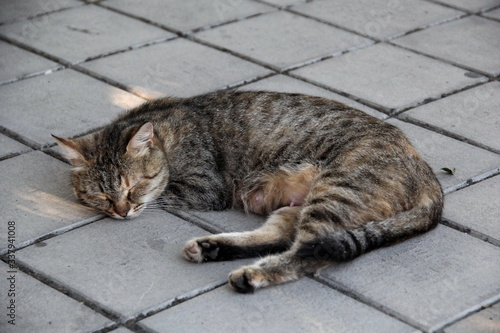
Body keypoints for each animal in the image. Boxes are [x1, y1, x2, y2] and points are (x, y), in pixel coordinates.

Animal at [53, 90, 442, 290]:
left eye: (133, 187)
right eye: (103, 194)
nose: (120, 212)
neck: (164, 135)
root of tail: (427, 173)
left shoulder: (204, 188)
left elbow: (163, 195)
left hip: (335, 192)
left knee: (309, 253)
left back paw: (251, 275)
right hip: (300, 205)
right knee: (281, 238)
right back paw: (212, 248)